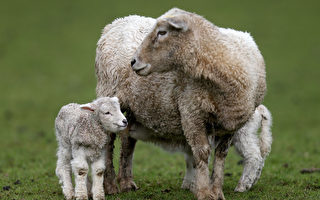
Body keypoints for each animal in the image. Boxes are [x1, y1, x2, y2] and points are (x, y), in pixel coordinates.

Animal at [95, 11, 270, 200]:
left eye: (162, 32)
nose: (133, 61)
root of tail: (117, 22)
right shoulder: (192, 113)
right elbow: (201, 153)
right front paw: (204, 192)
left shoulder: (231, 124)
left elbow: (220, 156)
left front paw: (217, 192)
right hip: (109, 95)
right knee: (109, 144)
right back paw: (110, 186)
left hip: (134, 108)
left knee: (128, 140)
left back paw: (127, 183)